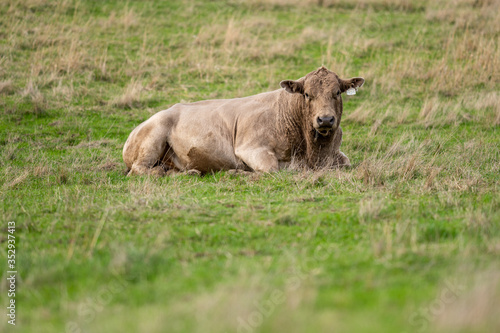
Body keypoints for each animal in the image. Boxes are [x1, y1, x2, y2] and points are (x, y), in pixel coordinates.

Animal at [121, 67, 364, 176]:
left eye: (337, 93)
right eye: (307, 95)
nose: (325, 119)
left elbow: (347, 162)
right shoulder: (251, 148)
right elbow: (271, 169)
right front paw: (238, 172)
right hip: (152, 139)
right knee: (142, 170)